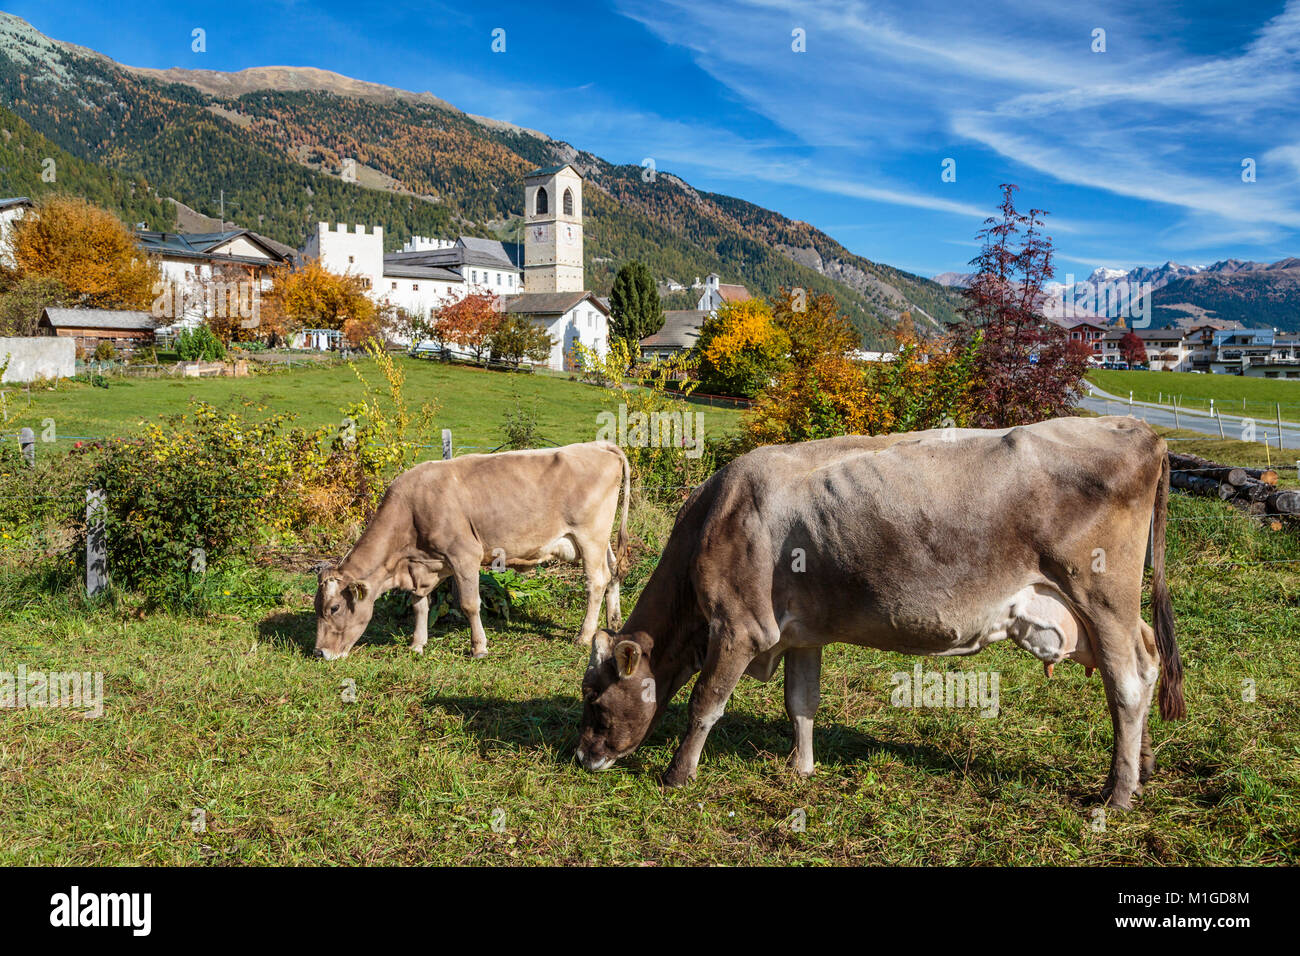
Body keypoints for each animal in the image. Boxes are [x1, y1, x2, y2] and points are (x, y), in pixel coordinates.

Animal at [314, 439, 629, 658]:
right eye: (317, 606)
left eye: (334, 607)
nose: (319, 652)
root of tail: (598, 445)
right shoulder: (425, 565)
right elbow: (419, 604)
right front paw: (417, 644)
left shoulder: (464, 555)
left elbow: (469, 604)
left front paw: (479, 647)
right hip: (600, 540)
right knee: (613, 573)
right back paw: (614, 622)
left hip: (590, 536)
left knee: (596, 581)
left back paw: (584, 636)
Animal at [574, 416, 1185, 806]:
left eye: (595, 701)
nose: (582, 757)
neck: (715, 518)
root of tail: (1137, 429)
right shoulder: (801, 633)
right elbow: (802, 702)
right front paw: (801, 768)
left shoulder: (739, 626)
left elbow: (706, 702)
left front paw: (677, 775)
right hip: (1097, 611)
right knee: (1142, 661)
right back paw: (1142, 768)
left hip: (1100, 593)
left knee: (1128, 680)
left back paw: (1117, 794)